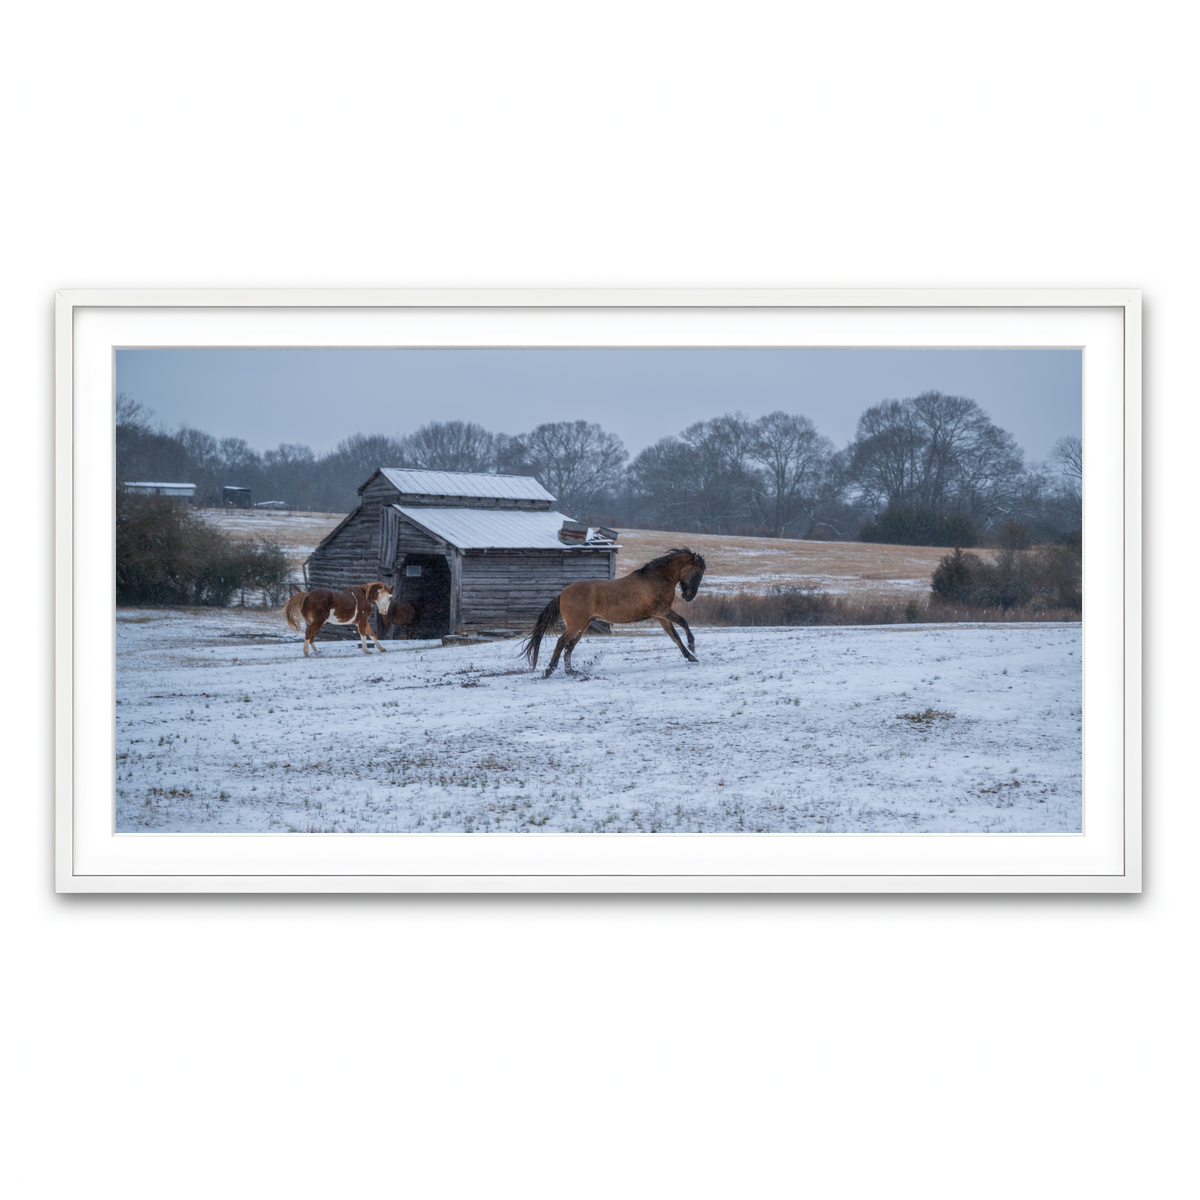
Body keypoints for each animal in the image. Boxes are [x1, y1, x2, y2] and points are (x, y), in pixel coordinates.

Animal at [521, 548, 706, 677]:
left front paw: (690, 656)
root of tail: (562, 594)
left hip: (584, 624)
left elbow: (674, 636)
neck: (656, 579)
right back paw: (550, 670)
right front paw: (692, 646)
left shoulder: (660, 617)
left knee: (569, 645)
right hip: (576, 624)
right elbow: (683, 622)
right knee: (561, 642)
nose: (688, 597)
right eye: (698, 574)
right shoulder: (662, 611)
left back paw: (571, 671)